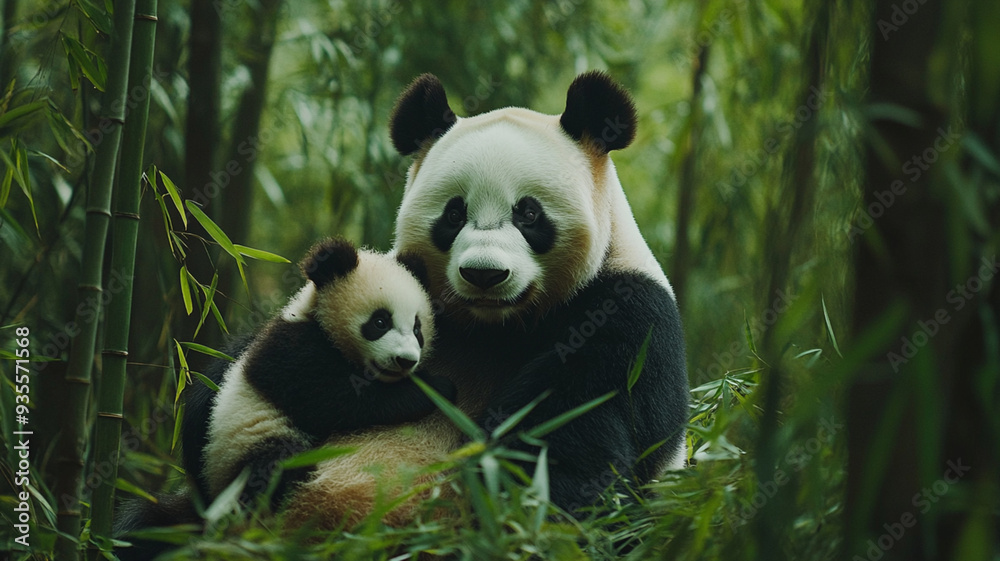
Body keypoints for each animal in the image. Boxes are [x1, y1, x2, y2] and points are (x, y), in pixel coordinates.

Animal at [280, 71, 690, 524]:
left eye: (528, 214)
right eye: (454, 214)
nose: (484, 274)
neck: (495, 327)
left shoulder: (626, 313)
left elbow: (568, 431)